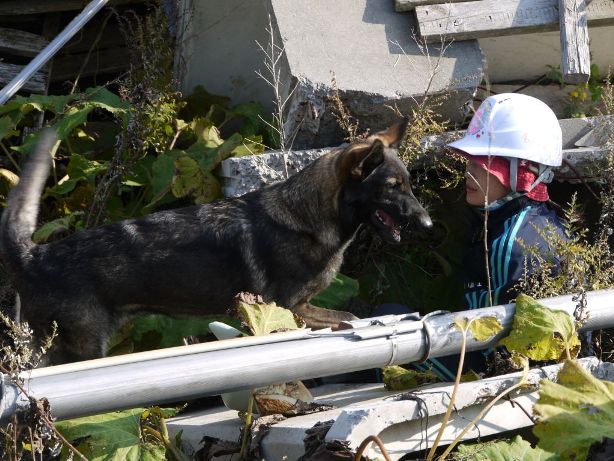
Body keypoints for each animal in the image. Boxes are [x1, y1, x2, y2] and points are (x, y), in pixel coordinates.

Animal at [0, 119, 432, 364]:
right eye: (392, 187)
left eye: (409, 184)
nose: (427, 223)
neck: (308, 217)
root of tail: (33, 254)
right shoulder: (290, 309)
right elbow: (349, 318)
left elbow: (348, 318)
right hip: (81, 348)